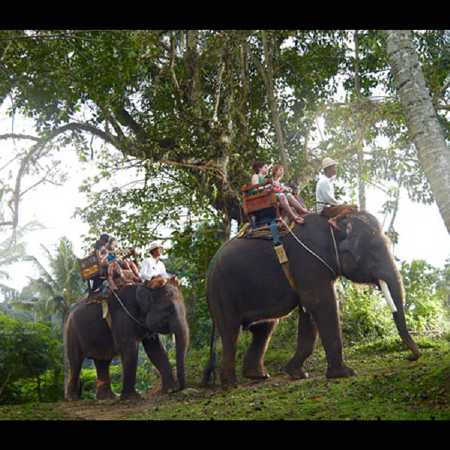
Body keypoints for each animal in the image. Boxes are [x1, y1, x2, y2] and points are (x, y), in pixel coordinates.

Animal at [202, 211, 420, 386]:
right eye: (374, 250)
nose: (411, 357)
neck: (333, 224)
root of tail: (210, 267)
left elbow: (308, 311)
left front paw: (297, 374)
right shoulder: (309, 263)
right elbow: (322, 304)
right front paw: (345, 373)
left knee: (264, 327)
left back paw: (258, 376)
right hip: (222, 292)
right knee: (231, 332)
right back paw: (231, 385)